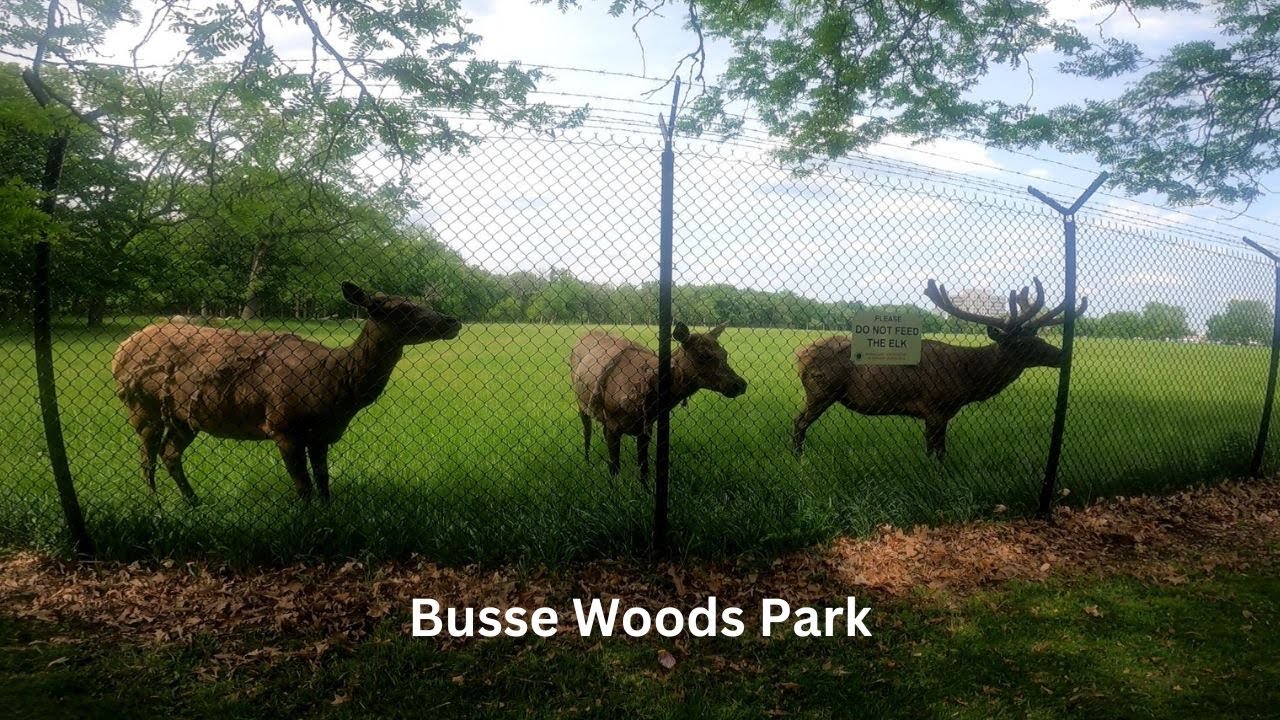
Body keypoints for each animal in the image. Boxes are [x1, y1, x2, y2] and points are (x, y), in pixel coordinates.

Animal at [111, 282, 461, 502]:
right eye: (401, 309)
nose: (453, 321)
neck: (337, 384)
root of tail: (121, 349)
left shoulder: (321, 434)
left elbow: (323, 482)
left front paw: (329, 513)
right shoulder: (283, 426)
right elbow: (303, 486)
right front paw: (307, 521)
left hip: (184, 417)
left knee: (169, 453)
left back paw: (194, 502)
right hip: (141, 407)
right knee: (147, 457)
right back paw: (157, 508)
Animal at [570, 321, 748, 485]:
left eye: (725, 353)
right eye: (702, 355)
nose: (740, 384)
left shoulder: (645, 425)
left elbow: (644, 467)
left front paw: (645, 489)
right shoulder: (614, 424)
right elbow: (614, 468)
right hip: (581, 402)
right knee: (587, 431)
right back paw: (586, 461)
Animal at [793, 277, 1086, 458]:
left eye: (1039, 337)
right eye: (1023, 343)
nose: (1063, 354)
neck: (969, 379)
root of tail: (799, 354)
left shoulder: (943, 413)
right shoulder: (934, 407)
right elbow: (936, 452)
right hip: (820, 390)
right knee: (799, 422)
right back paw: (798, 458)